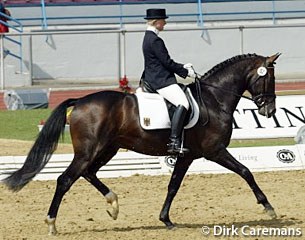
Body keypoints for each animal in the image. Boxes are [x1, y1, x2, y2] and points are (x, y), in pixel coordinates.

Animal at [1, 52, 280, 234]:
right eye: (268, 78)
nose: (269, 110)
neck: (213, 98)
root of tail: (79, 101)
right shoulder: (215, 151)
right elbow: (245, 171)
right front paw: (269, 208)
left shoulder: (187, 155)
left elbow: (173, 186)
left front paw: (166, 220)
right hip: (88, 150)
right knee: (65, 179)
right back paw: (51, 223)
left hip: (108, 149)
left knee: (88, 173)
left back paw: (113, 205)